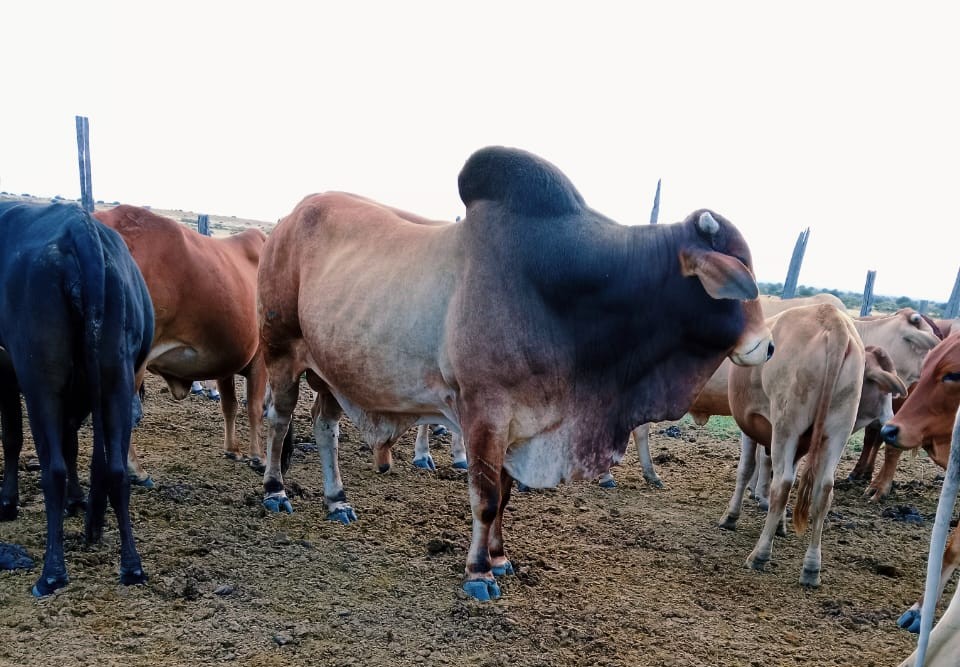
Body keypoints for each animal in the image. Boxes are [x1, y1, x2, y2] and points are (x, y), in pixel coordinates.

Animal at [0, 201, 153, 596]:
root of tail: (79, 226)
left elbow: (12, 437)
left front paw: (7, 502)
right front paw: (77, 500)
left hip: (41, 377)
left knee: (51, 468)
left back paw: (52, 574)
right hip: (116, 377)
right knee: (115, 469)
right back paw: (130, 566)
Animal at [94, 205, 268, 483]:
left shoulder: (226, 363)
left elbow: (229, 406)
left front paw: (232, 450)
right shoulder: (260, 357)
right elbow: (253, 407)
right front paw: (258, 457)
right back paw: (135, 470)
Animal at [256, 146, 774, 601]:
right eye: (738, 274)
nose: (767, 346)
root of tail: (288, 219)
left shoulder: (521, 421)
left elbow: (505, 495)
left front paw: (501, 558)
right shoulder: (485, 410)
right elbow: (486, 497)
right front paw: (479, 573)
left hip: (333, 370)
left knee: (324, 427)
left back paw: (337, 500)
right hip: (282, 349)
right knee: (279, 420)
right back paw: (275, 491)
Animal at [718, 304, 905, 587]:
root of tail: (833, 321)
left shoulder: (751, 428)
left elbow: (746, 470)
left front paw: (730, 517)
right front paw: (780, 526)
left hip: (786, 425)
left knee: (782, 485)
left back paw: (760, 554)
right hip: (836, 431)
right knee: (823, 490)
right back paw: (811, 567)